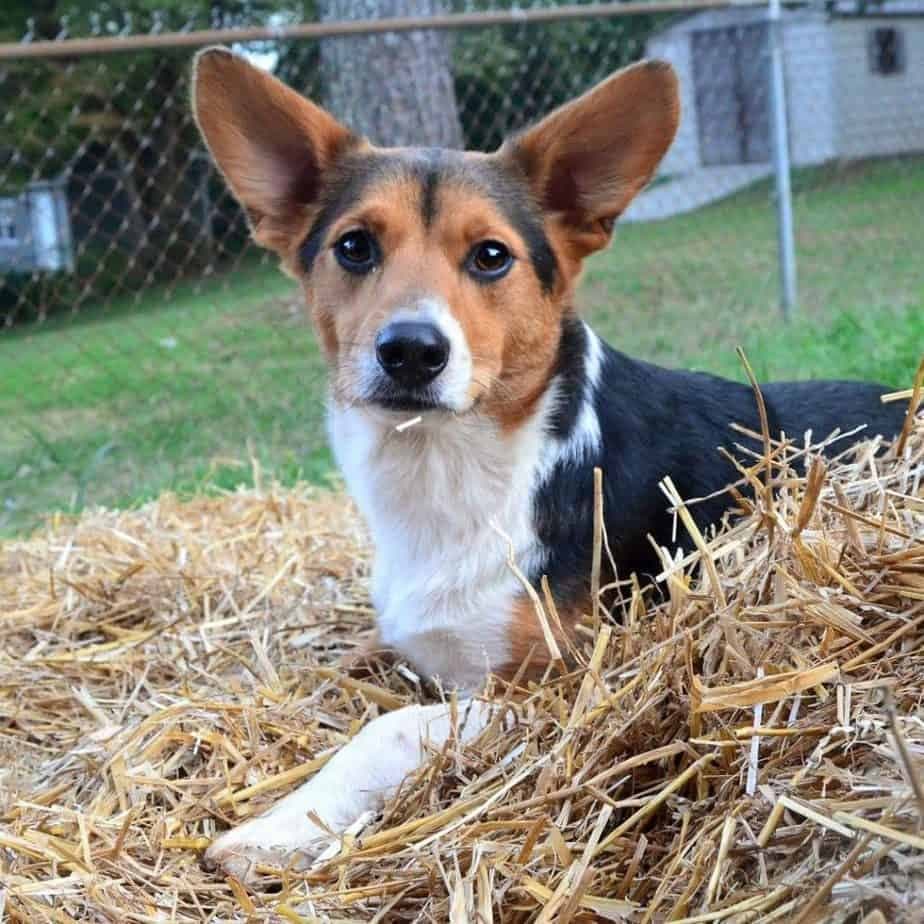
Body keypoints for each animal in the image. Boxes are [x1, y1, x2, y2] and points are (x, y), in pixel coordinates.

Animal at [191, 48, 904, 880]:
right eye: (355, 246)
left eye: (491, 256)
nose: (411, 350)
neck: (452, 470)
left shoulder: (561, 684)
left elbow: (392, 728)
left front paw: (280, 825)